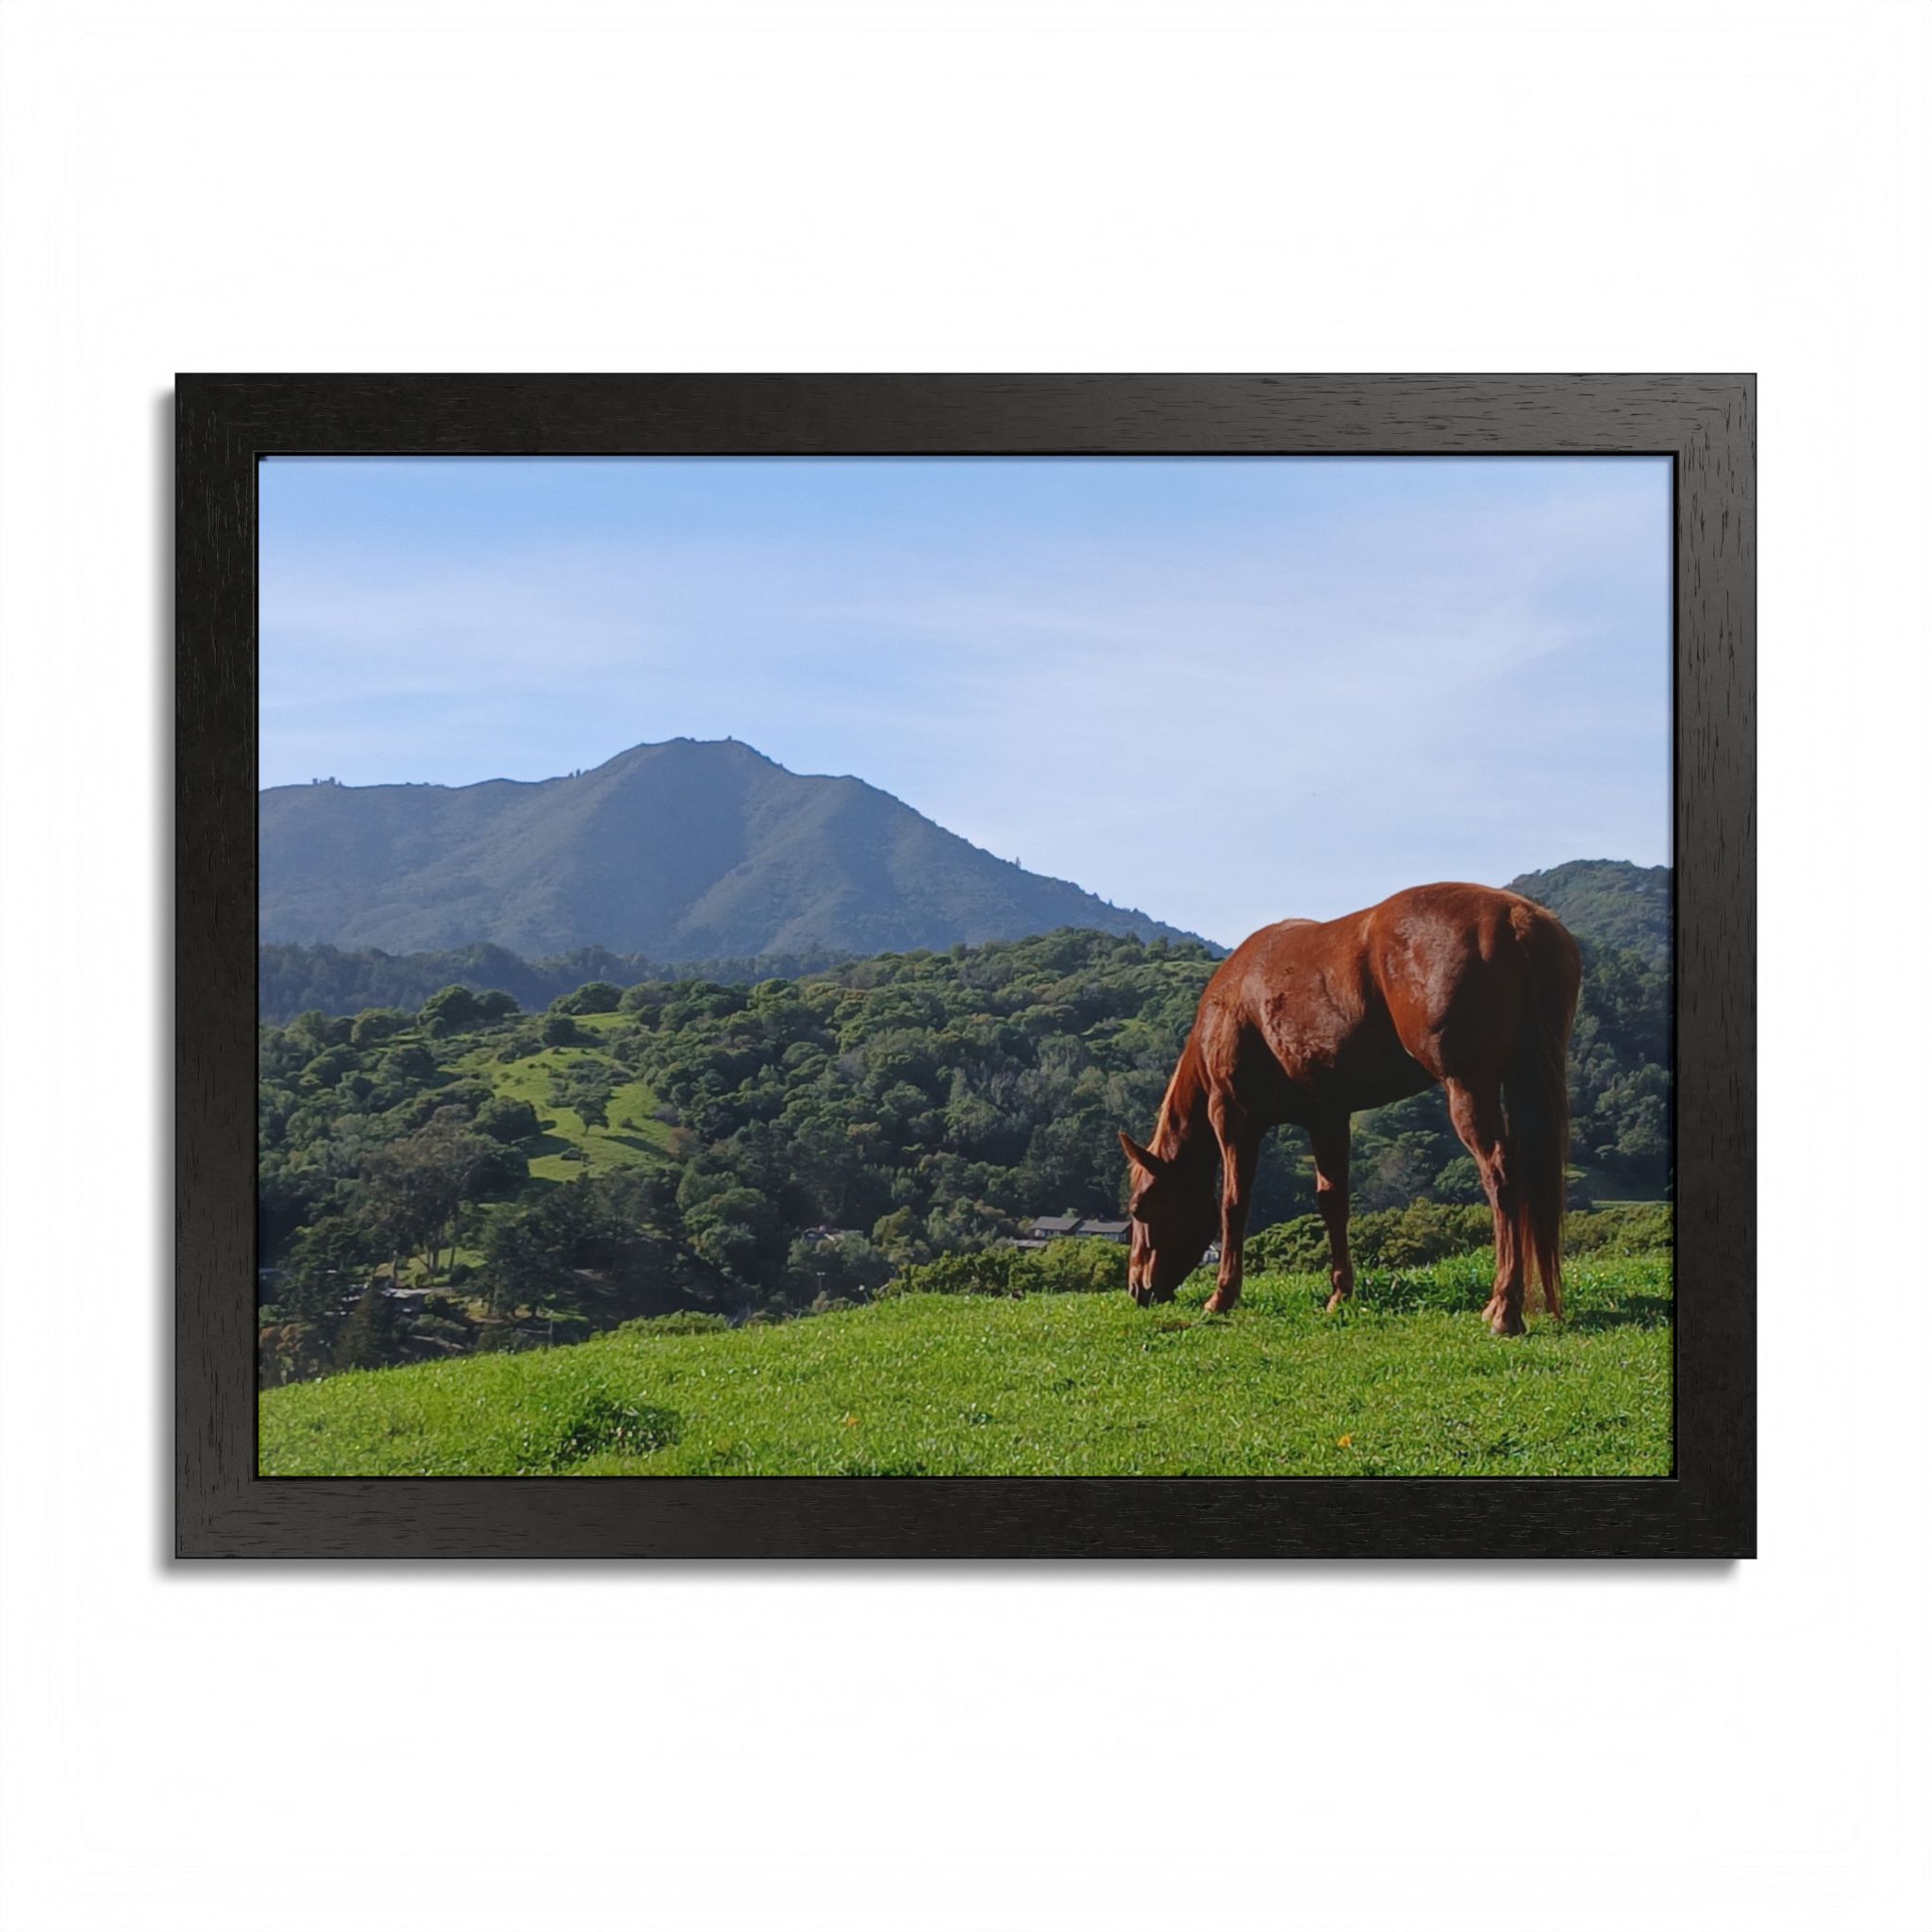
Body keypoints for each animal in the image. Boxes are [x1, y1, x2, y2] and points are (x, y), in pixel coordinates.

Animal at [1118, 882, 1582, 1335]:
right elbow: (1333, 1202)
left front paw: (1222, 1296)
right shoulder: (1326, 1116)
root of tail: (1515, 918)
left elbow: (1234, 1204)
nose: (1137, 1289)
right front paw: (1340, 1292)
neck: (1233, 1002)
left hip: (1468, 1086)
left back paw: (1504, 1308)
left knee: (1500, 1175)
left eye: (1140, 1209)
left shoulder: (1234, 1116)